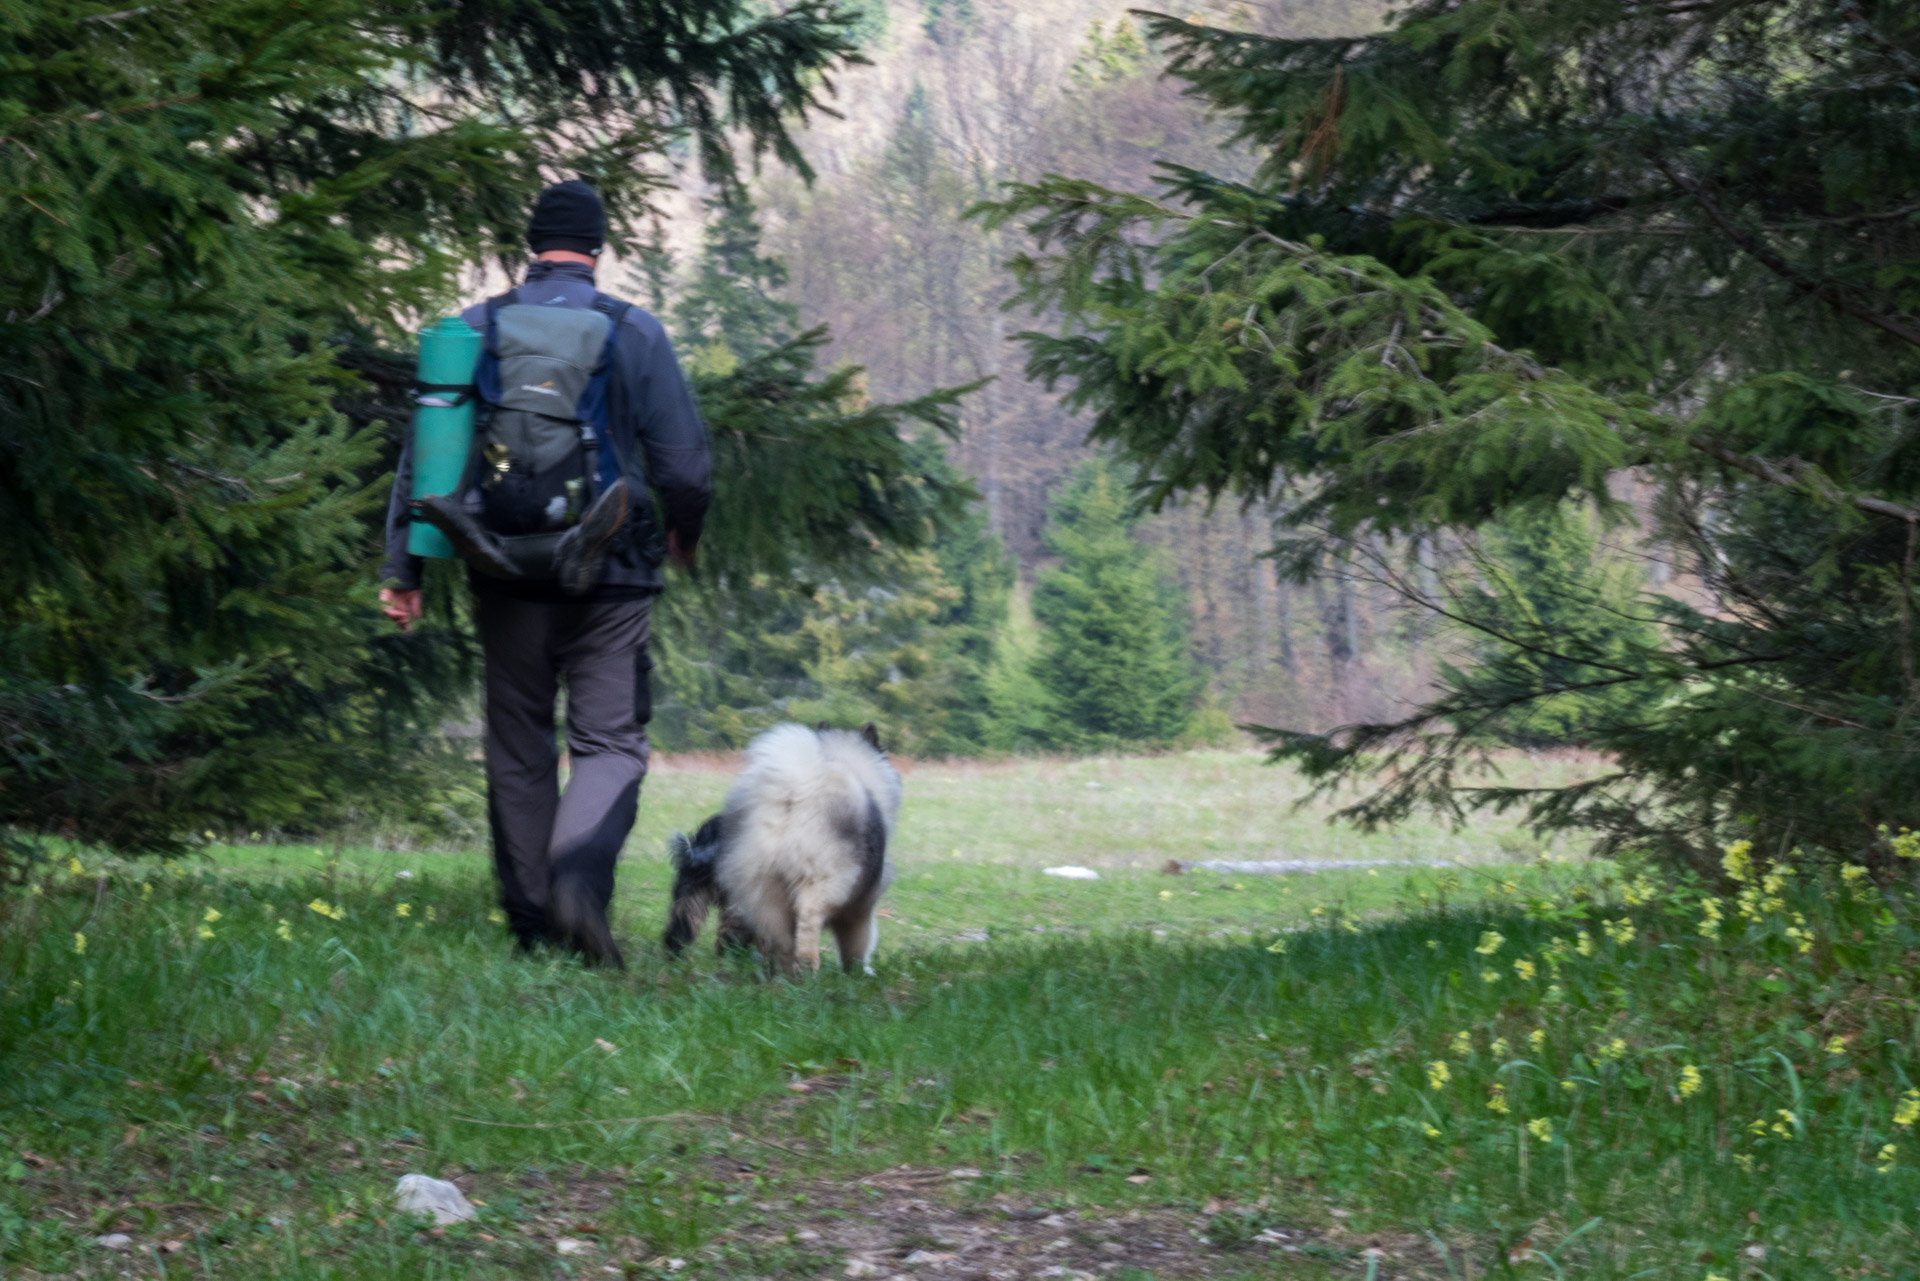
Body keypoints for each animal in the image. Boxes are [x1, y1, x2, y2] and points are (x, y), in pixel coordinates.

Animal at [660, 722, 898, 983]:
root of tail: (791, 794)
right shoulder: (860, 910)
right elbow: (857, 947)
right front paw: (859, 973)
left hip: (746, 894)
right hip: (813, 886)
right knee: (795, 936)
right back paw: (804, 974)